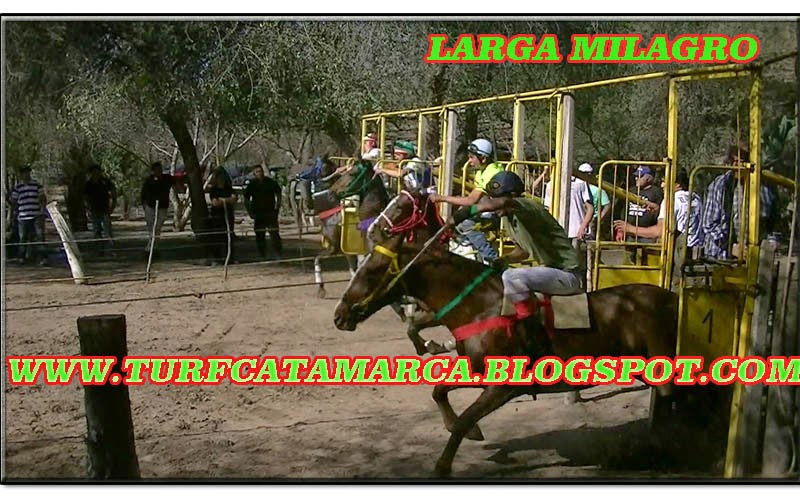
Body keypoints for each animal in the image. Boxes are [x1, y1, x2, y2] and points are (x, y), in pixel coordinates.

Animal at [333, 190, 679, 477]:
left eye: (372, 271)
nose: (340, 316)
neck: (479, 305)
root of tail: (672, 297)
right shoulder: (478, 370)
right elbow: (440, 390)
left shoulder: (504, 387)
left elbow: (465, 419)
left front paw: (443, 465)